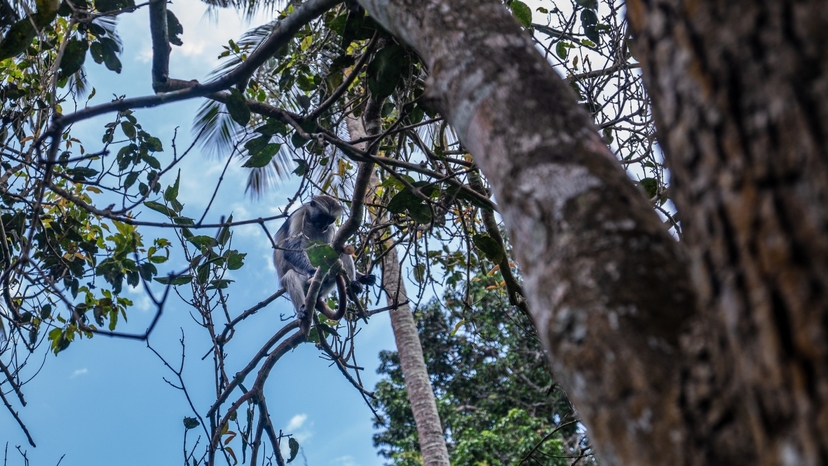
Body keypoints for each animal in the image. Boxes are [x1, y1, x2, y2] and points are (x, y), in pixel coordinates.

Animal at [274, 195, 376, 323]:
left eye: (330, 220)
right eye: (322, 217)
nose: (324, 226)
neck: (312, 223)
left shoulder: (330, 228)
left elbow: (331, 249)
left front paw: (362, 277)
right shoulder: (299, 215)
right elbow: (292, 249)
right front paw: (312, 270)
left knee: (340, 253)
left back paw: (352, 285)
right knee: (290, 276)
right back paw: (301, 310)